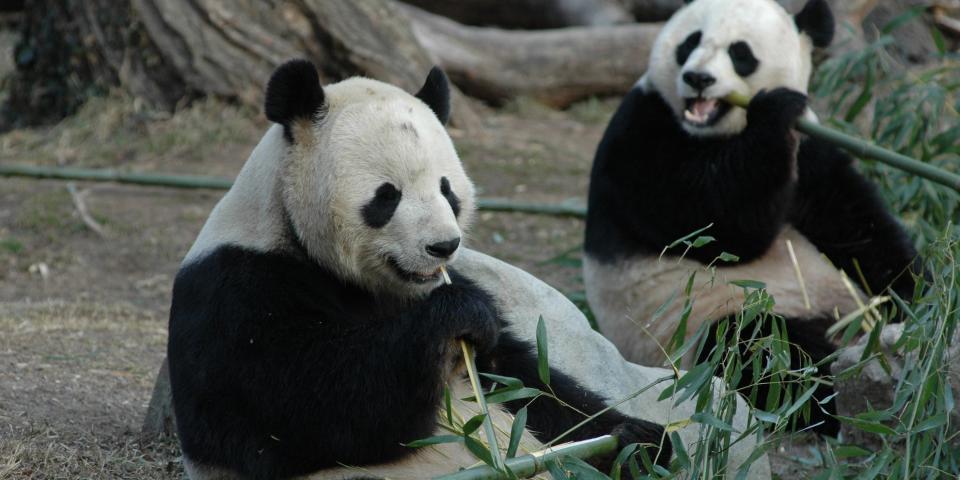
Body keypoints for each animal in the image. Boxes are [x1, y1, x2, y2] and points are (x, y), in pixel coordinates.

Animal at [167, 60, 684, 480]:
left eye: (446, 189)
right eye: (387, 195)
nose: (443, 246)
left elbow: (531, 389)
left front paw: (639, 440)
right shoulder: (235, 293)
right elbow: (310, 405)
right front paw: (454, 317)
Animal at [580, 0, 920, 436]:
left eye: (740, 53)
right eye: (691, 42)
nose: (698, 78)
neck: (721, 132)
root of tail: (847, 327)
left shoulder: (810, 148)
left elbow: (854, 222)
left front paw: (921, 297)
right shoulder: (641, 131)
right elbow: (717, 226)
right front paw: (774, 111)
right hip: (698, 323)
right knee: (762, 350)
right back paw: (830, 398)